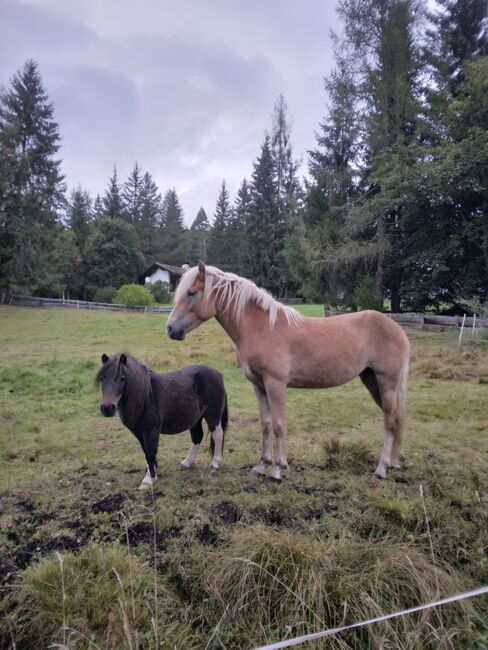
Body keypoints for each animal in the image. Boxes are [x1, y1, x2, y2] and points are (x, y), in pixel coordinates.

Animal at [96, 354, 229, 486]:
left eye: (122, 378)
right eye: (102, 378)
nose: (107, 408)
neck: (146, 397)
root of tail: (217, 374)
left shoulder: (151, 430)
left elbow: (150, 453)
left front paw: (149, 480)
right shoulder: (138, 432)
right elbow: (146, 451)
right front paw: (152, 471)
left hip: (213, 415)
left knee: (218, 435)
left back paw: (215, 464)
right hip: (195, 419)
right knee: (197, 437)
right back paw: (187, 463)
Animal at [166, 260, 410, 478]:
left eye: (191, 292)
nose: (170, 329)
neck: (263, 327)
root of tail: (396, 328)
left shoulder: (276, 384)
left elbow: (278, 425)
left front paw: (277, 469)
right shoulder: (259, 386)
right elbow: (265, 425)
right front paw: (261, 465)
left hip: (386, 382)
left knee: (390, 422)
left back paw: (381, 469)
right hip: (371, 381)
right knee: (397, 419)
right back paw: (393, 463)